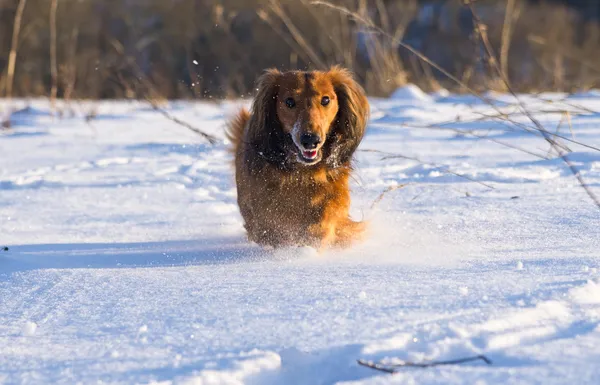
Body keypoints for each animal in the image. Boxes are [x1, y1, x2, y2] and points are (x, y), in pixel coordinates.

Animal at [229, 66, 370, 249]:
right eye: (289, 102)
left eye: (325, 100)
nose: (310, 140)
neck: (302, 174)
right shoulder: (261, 214)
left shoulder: (335, 194)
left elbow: (327, 216)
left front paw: (312, 239)